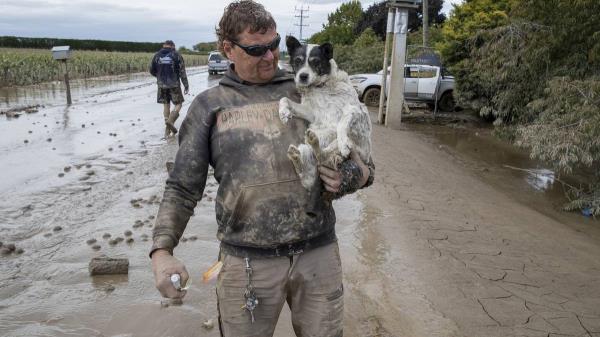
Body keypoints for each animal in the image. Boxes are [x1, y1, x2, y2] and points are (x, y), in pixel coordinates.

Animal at [280, 36, 370, 192]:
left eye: (316, 62)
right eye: (298, 60)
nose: (303, 76)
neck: (320, 87)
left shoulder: (355, 109)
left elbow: (342, 122)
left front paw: (343, 142)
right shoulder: (311, 112)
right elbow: (284, 99)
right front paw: (283, 111)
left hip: (345, 146)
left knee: (324, 156)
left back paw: (316, 143)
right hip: (305, 150)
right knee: (308, 172)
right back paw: (297, 156)